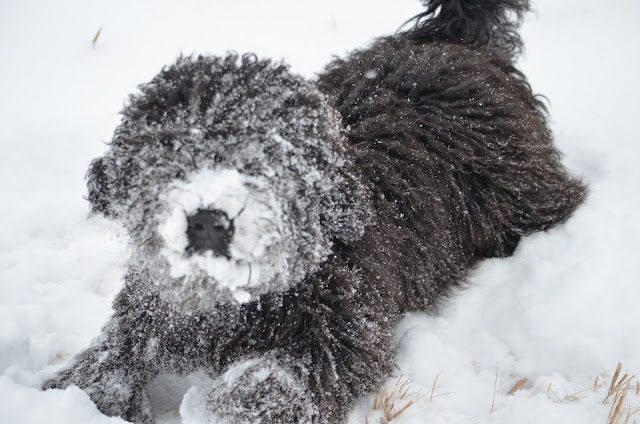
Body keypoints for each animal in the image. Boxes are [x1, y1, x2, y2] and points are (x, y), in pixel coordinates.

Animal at [43, 1, 584, 422]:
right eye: (169, 151)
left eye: (266, 156)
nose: (208, 222)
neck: (235, 300)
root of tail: (454, 43)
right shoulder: (153, 309)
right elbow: (112, 355)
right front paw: (77, 393)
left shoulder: (340, 335)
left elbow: (273, 385)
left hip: (521, 199)